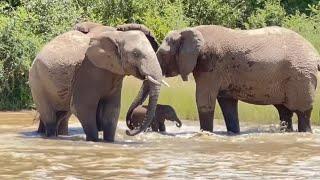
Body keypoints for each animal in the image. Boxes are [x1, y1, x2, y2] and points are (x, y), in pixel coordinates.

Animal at [28, 22, 164, 141]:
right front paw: (94, 140)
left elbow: (112, 108)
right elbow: (83, 106)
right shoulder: (88, 68)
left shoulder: (114, 74)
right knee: (50, 118)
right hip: (37, 82)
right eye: (136, 54)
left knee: (62, 116)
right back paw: (51, 136)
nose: (128, 130)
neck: (117, 35)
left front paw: (109, 141)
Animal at [151, 24, 318, 133]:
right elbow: (227, 104)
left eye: (163, 54)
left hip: (301, 77)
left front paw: (206, 133)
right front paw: (233, 134)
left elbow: (204, 100)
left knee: (303, 112)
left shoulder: (211, 65)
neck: (190, 30)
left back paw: (305, 132)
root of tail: (315, 55)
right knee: (284, 111)